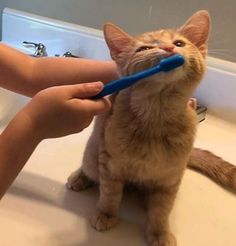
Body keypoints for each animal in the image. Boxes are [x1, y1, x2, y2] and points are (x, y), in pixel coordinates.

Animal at [67, 11, 234, 246]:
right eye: (144, 48)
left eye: (179, 43)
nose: (169, 48)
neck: (156, 115)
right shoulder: (110, 165)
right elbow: (109, 194)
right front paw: (106, 214)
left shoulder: (169, 179)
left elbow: (161, 211)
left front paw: (159, 233)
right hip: (93, 153)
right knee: (89, 167)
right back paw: (80, 178)